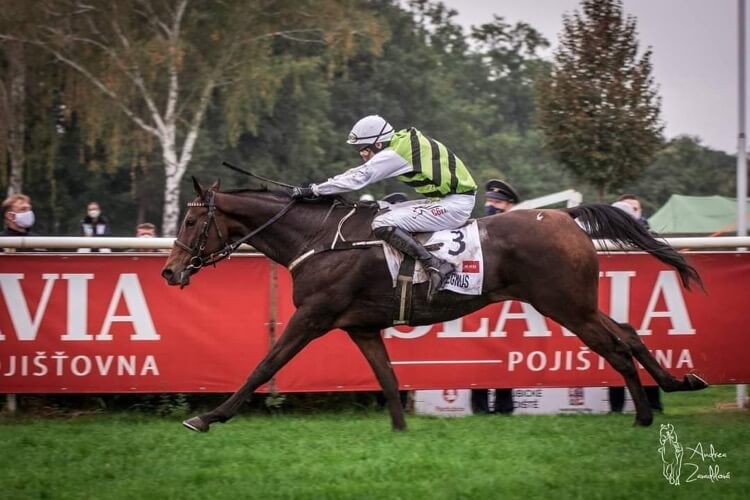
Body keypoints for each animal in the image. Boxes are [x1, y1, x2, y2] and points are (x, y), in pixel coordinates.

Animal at [161, 178, 708, 433]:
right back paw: (673, 386)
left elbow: (264, 366)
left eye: (190, 221)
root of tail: (565, 217)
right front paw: (401, 431)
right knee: (628, 334)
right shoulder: (361, 326)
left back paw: (648, 411)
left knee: (617, 346)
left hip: (565, 305)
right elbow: (386, 377)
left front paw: (208, 417)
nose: (169, 271)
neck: (319, 239)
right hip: (575, 303)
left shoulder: (311, 317)